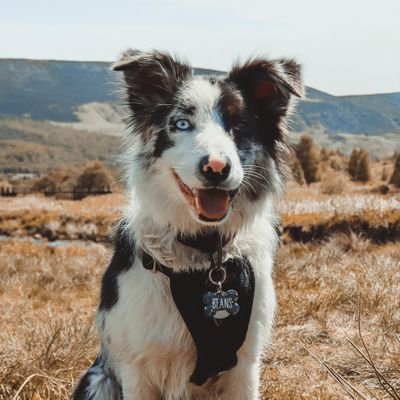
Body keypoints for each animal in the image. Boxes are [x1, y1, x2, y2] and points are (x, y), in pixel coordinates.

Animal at [72, 50, 304, 400]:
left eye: (239, 125)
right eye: (181, 124)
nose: (216, 168)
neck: (206, 254)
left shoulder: (245, 363)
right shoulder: (137, 365)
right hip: (98, 382)